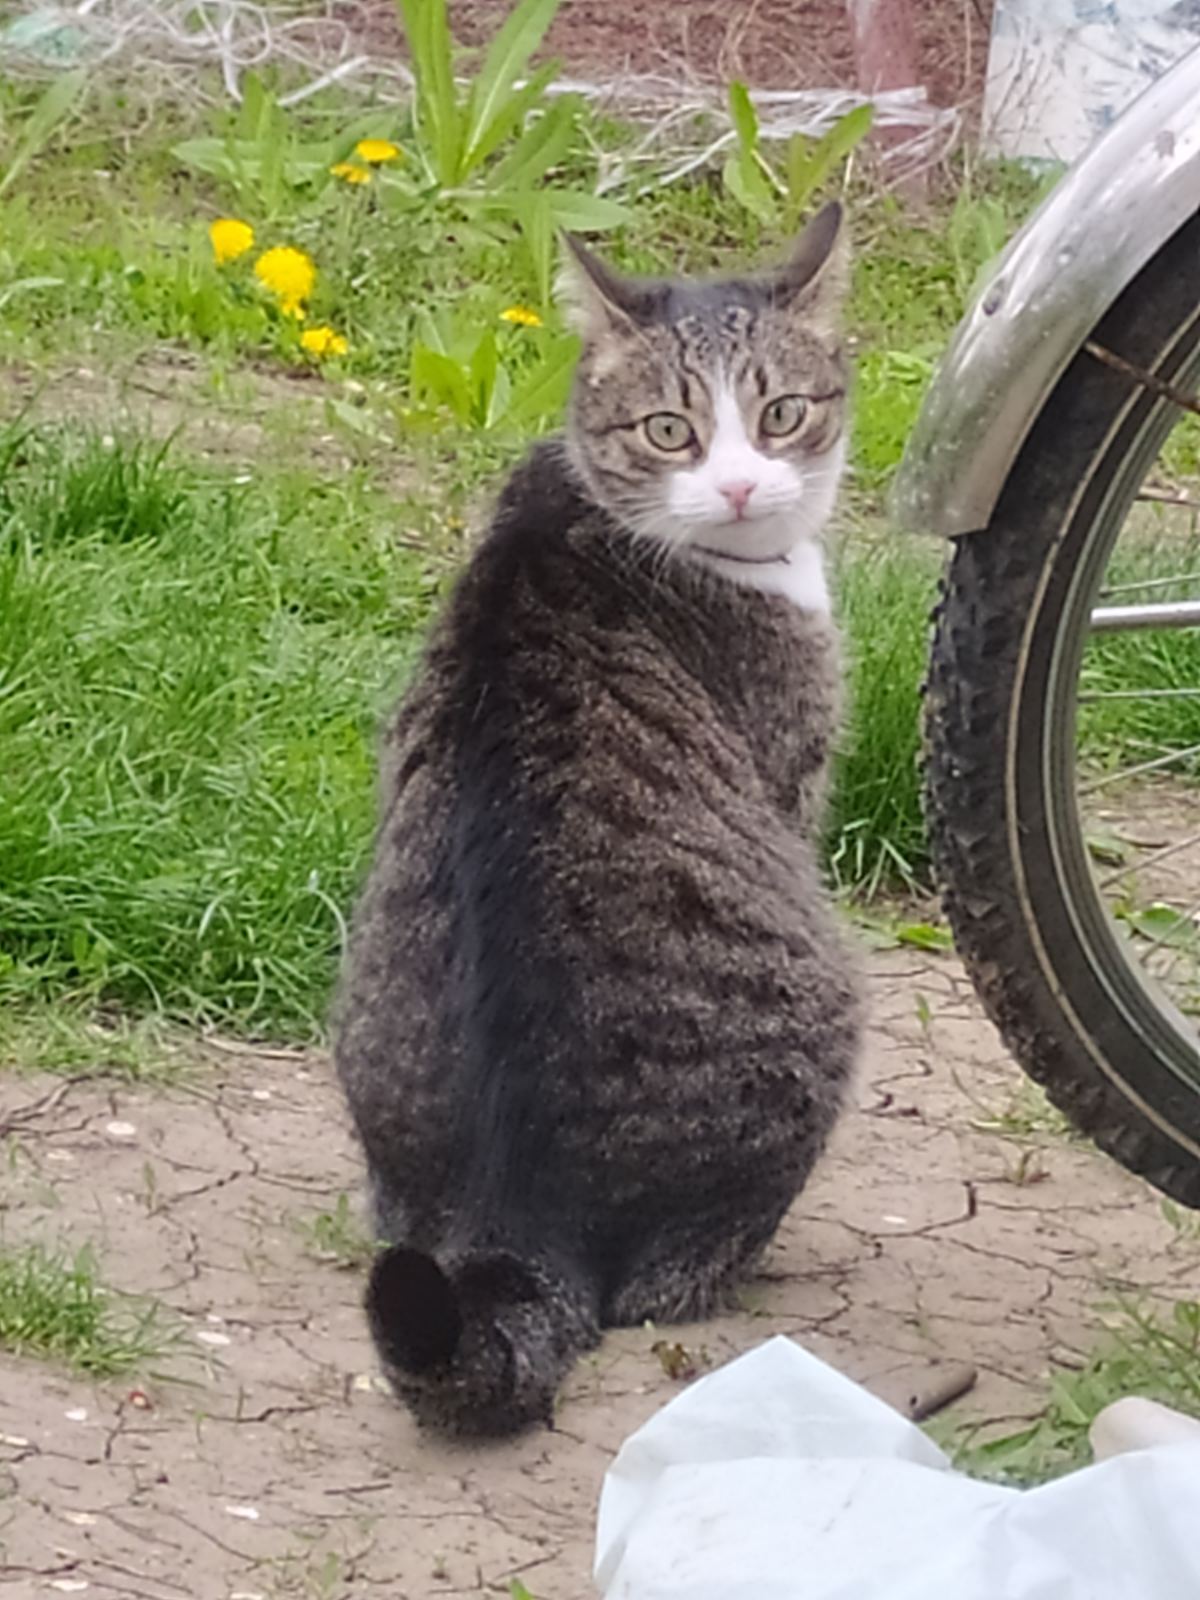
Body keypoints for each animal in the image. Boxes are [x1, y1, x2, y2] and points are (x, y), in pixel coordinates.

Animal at [336, 200, 864, 1440]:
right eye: (672, 429)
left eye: (780, 413)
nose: (738, 488)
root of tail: (520, 1205)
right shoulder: (792, 774)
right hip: (820, 1016)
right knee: (667, 1281)